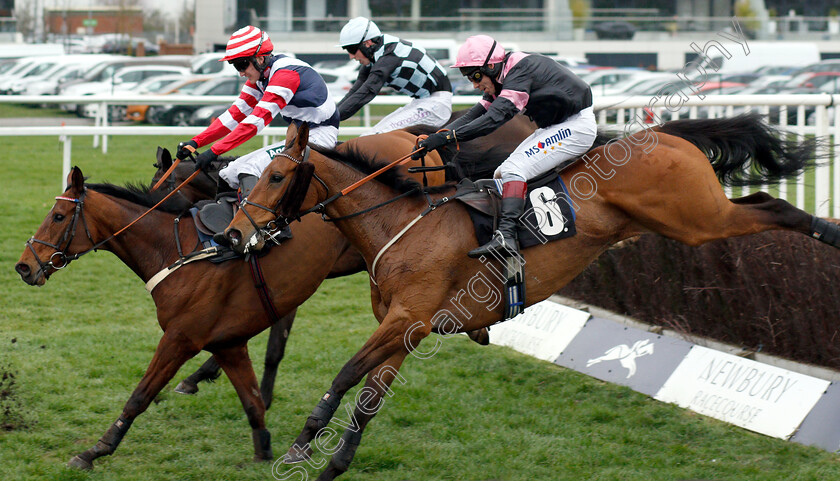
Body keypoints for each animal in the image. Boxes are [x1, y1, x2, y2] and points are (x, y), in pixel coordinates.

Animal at [223, 113, 840, 480]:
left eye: (274, 177)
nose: (232, 235)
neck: (400, 223)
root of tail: (664, 135)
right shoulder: (406, 327)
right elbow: (370, 396)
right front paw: (335, 462)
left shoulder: (407, 319)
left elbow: (347, 374)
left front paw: (302, 444)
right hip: (697, 218)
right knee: (761, 200)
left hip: (696, 220)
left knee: (773, 208)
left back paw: (829, 233)